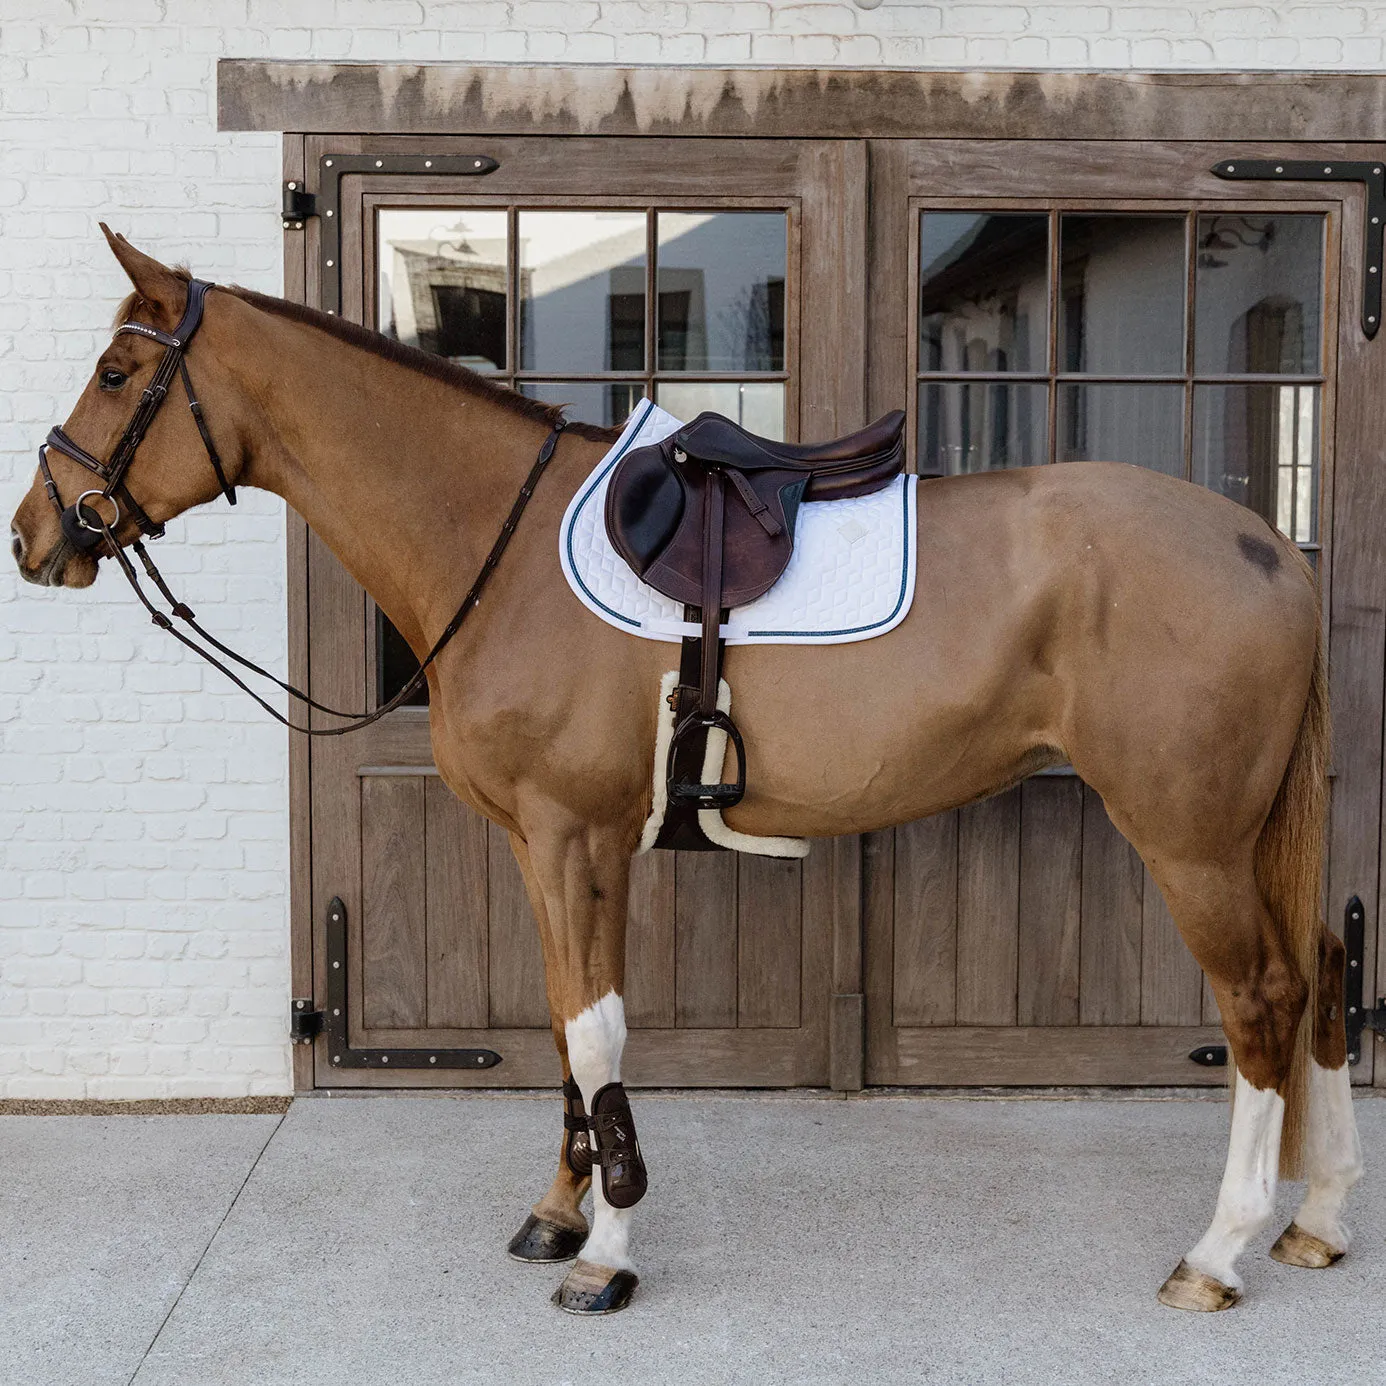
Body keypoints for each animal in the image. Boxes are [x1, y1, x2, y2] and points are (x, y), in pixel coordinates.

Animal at [8, 227, 1363, 1308]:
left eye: (119, 372)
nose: (32, 535)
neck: (499, 542)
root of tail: (1266, 548)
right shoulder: (549, 845)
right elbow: (566, 1028)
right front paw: (559, 1215)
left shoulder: (573, 834)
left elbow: (598, 1034)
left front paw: (606, 1253)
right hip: (1253, 838)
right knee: (1327, 975)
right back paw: (1320, 1218)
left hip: (1191, 840)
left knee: (1262, 1002)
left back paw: (1220, 1253)